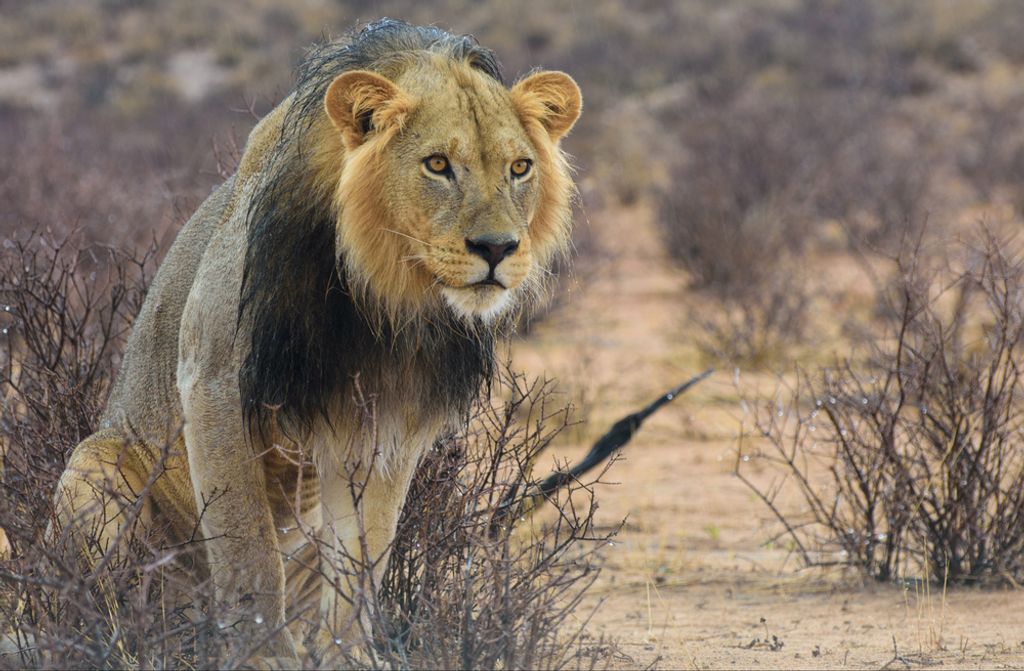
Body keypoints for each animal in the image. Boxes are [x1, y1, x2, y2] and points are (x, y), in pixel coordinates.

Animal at [49, 18, 580, 666]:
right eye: (437, 164)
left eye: (520, 168)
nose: (498, 248)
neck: (380, 292)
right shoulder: (213, 381)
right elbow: (248, 546)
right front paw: (260, 654)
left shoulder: (389, 423)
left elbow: (365, 555)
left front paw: (349, 654)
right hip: (93, 467)